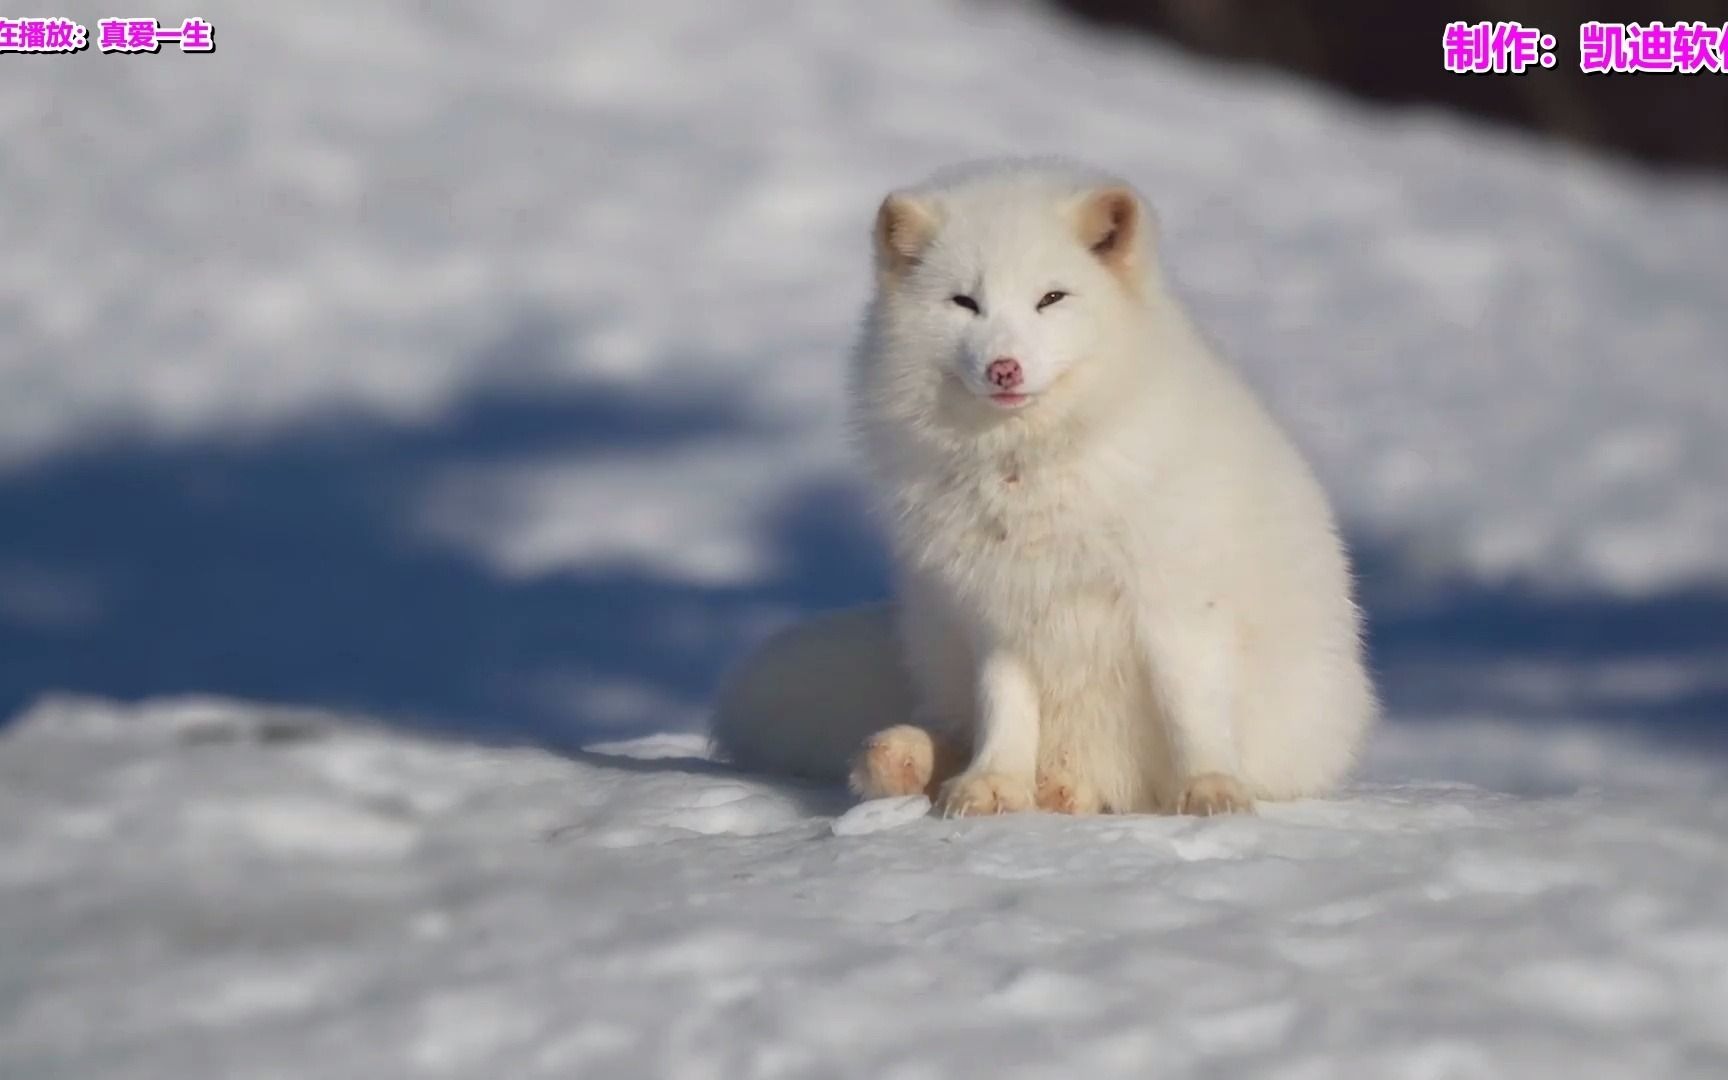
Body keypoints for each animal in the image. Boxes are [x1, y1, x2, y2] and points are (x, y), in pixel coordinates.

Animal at [708, 158, 1368, 815]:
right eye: (965, 302)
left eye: (1051, 298)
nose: (1004, 368)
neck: (1026, 468)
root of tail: (1083, 777)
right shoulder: (998, 612)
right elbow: (1005, 707)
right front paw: (992, 783)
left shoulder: (1177, 605)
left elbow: (1191, 711)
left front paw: (1209, 788)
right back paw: (913, 761)